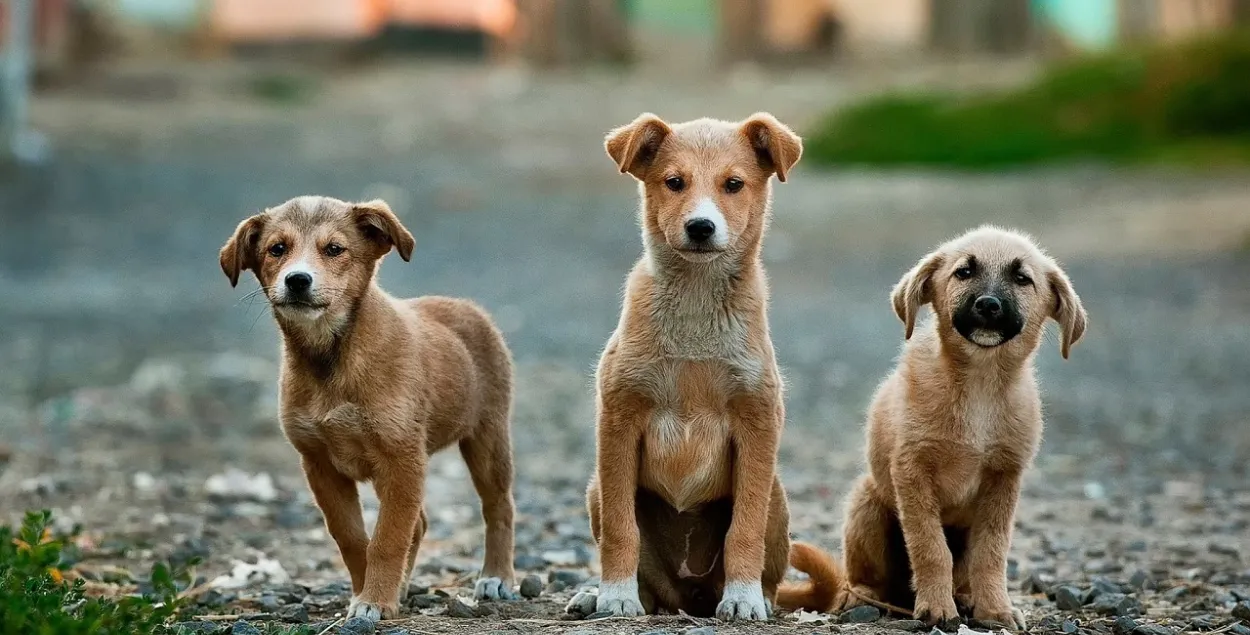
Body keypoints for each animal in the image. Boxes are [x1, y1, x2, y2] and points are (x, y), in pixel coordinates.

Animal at [221, 195, 517, 620]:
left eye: (334, 249)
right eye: (277, 249)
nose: (297, 280)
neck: (331, 358)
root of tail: (466, 306)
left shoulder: (402, 459)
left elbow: (387, 538)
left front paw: (375, 600)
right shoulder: (320, 464)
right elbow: (352, 537)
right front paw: (368, 593)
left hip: (487, 438)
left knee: (498, 507)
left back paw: (497, 577)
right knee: (420, 523)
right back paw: (404, 586)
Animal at [567, 113, 810, 620]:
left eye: (733, 184)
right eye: (674, 182)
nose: (700, 227)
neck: (696, 309)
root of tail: (690, 595)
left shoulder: (758, 422)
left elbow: (744, 528)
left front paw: (743, 598)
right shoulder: (618, 420)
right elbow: (621, 528)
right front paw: (615, 595)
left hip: (777, 496)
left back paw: (756, 596)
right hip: (596, 488)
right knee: (649, 582)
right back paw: (600, 595)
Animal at [775, 226, 1090, 627]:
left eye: (1022, 279)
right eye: (964, 272)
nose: (988, 304)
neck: (979, 384)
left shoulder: (1004, 479)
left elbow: (991, 553)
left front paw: (995, 609)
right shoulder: (912, 471)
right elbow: (930, 548)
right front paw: (938, 608)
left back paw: (966, 598)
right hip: (867, 503)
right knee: (862, 578)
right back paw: (863, 597)